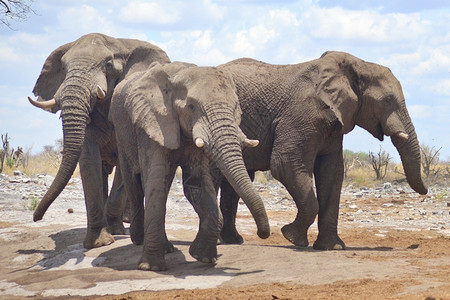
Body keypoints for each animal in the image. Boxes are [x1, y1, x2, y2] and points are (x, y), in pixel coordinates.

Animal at [28, 32, 171, 248]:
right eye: (64, 68)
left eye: (108, 65)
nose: (36, 218)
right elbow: (88, 161)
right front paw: (99, 243)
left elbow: (124, 164)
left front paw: (115, 232)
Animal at [109, 62, 270, 270]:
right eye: (192, 106)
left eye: (236, 107)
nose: (262, 234)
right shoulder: (153, 123)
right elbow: (155, 181)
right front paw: (151, 267)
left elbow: (198, 183)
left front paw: (204, 258)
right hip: (121, 132)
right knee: (134, 183)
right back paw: (138, 239)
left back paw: (166, 247)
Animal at [216, 51, 428, 248]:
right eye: (387, 100)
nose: (425, 191)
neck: (357, 65)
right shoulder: (301, 115)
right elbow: (285, 165)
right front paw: (292, 237)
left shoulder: (335, 123)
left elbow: (332, 173)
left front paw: (331, 247)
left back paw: (233, 240)